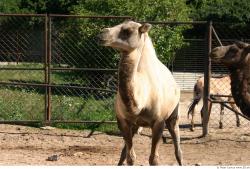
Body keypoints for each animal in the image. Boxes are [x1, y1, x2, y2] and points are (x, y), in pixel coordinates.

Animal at [98, 20, 183, 165]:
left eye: (127, 31)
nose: (102, 33)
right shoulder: (123, 121)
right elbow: (130, 157)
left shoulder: (158, 122)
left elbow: (154, 159)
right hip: (135, 125)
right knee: (124, 152)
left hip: (173, 114)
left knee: (178, 149)